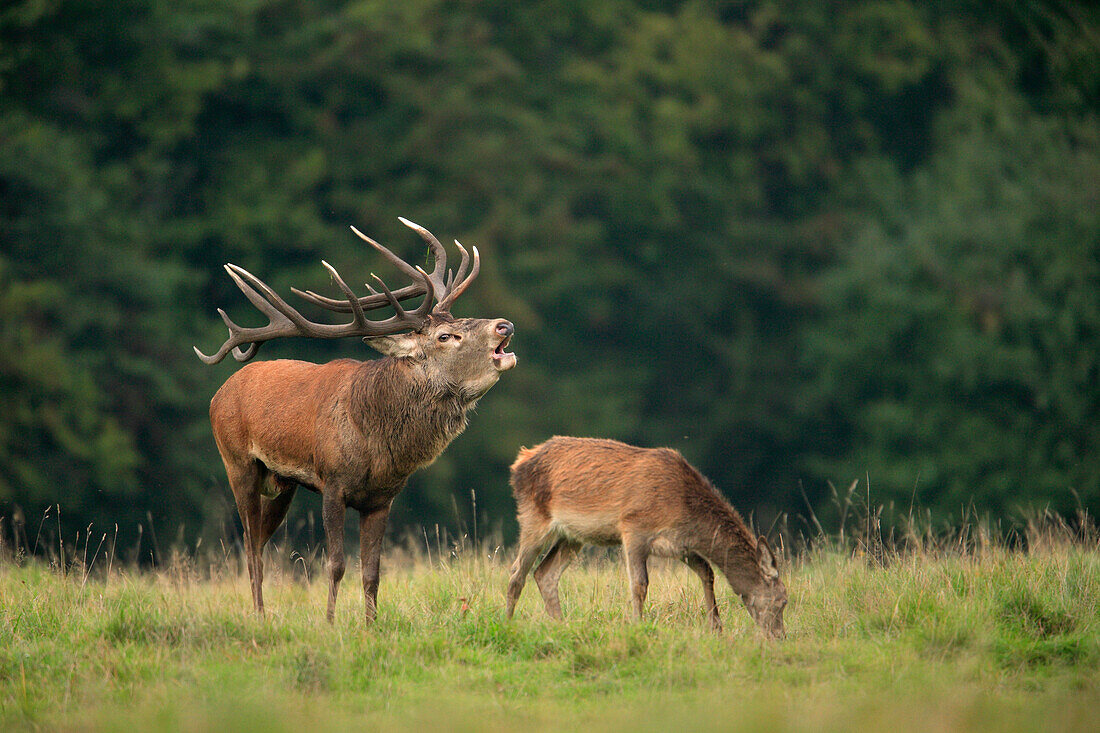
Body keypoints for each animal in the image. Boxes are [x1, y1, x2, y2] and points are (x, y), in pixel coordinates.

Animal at [196, 220, 514, 620]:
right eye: (446, 336)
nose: (504, 325)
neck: (376, 443)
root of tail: (220, 392)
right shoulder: (333, 483)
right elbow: (336, 565)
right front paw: (331, 622)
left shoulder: (382, 499)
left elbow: (372, 572)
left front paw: (371, 624)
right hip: (238, 462)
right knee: (250, 545)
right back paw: (259, 615)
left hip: (283, 483)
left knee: (260, 540)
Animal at [503, 435, 787, 638]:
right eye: (782, 601)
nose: (780, 636)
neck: (683, 508)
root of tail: (519, 462)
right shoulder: (634, 528)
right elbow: (640, 584)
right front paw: (638, 625)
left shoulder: (680, 546)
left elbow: (707, 572)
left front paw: (716, 627)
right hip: (533, 517)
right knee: (517, 572)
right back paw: (507, 623)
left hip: (574, 535)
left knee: (545, 573)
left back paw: (562, 625)